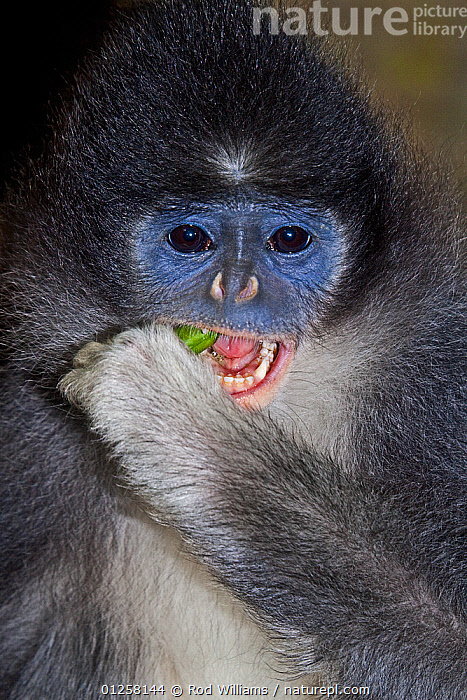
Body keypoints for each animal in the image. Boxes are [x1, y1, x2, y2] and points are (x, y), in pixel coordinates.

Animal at [0, 0, 465, 698]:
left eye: (288, 239)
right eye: (190, 238)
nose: (236, 287)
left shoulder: (436, 358)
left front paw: (176, 420)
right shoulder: (20, 421)